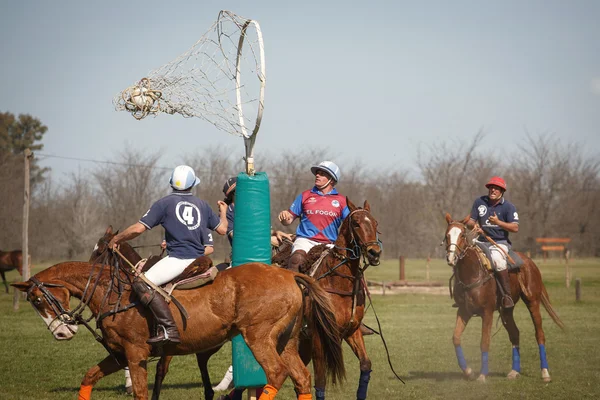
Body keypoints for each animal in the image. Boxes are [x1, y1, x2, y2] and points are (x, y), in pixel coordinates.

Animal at [11, 253, 344, 396]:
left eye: (37, 300)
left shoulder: (136, 354)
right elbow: (89, 377)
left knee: (276, 373)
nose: (61, 332)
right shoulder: (119, 355)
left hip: (259, 336)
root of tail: (290, 274)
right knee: (301, 377)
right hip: (285, 340)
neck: (112, 293)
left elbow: (141, 392)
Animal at [442, 214, 564, 382]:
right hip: (506, 310)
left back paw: (545, 373)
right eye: (447, 235)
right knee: (515, 333)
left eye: (462, 235)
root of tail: (530, 262)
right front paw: (469, 372)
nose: (451, 258)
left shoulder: (486, 312)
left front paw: (482, 375)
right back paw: (514, 371)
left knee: (539, 334)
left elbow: (484, 342)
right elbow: (455, 338)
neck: (472, 273)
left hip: (532, 301)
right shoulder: (463, 311)